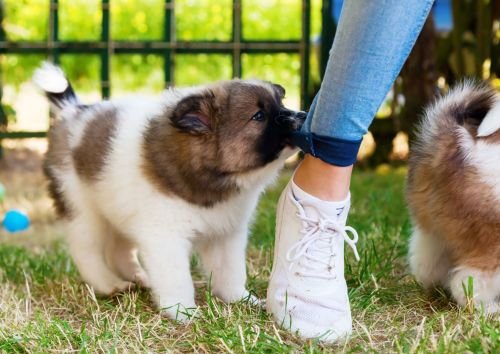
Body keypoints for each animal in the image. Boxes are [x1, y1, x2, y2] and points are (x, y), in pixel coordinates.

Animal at [33, 63, 304, 320]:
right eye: (259, 116)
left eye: (281, 103)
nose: (301, 116)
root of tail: (73, 111)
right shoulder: (165, 237)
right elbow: (176, 277)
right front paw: (183, 311)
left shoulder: (225, 234)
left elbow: (231, 271)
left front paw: (239, 299)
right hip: (83, 210)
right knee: (86, 251)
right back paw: (109, 284)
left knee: (118, 250)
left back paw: (139, 277)